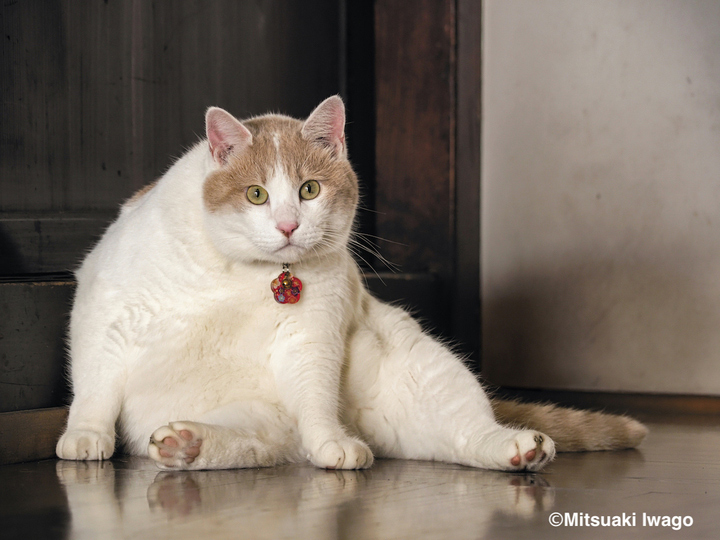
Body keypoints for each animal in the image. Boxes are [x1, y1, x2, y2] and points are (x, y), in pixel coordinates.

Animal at [56, 97, 648, 472]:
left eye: (309, 189)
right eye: (255, 194)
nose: (288, 225)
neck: (242, 271)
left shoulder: (311, 337)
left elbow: (317, 400)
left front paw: (333, 445)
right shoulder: (107, 312)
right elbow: (94, 387)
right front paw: (85, 437)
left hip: (425, 372)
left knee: (464, 432)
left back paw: (517, 450)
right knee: (258, 446)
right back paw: (187, 444)